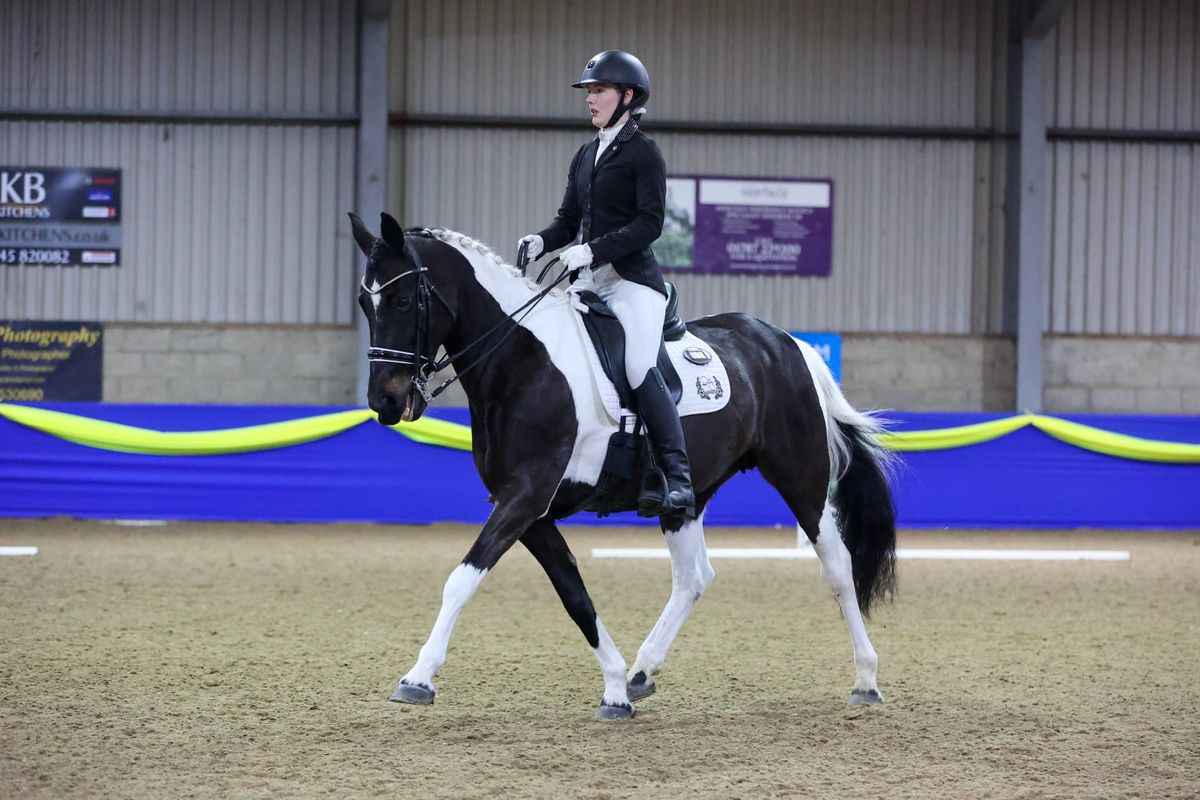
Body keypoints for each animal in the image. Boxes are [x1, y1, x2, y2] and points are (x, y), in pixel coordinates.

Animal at [350, 211, 897, 719]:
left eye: (402, 301)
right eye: (363, 303)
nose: (385, 403)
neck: (523, 360)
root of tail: (786, 342)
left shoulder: (525, 497)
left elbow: (462, 578)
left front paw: (418, 677)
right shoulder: (531, 511)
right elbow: (574, 594)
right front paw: (614, 687)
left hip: (800, 477)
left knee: (837, 566)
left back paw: (866, 680)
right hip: (684, 498)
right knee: (693, 578)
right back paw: (640, 673)